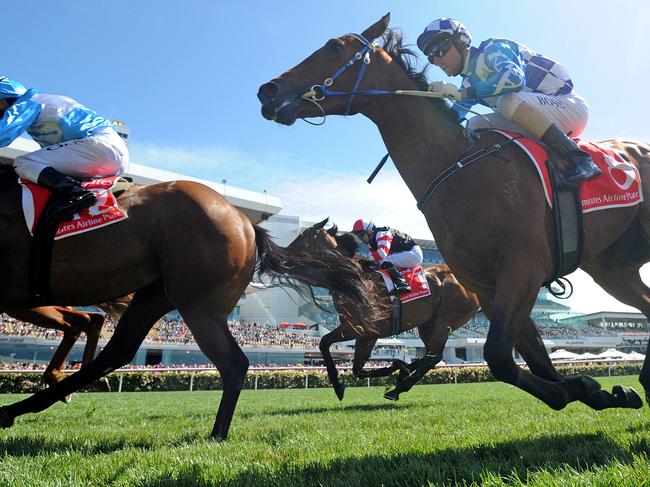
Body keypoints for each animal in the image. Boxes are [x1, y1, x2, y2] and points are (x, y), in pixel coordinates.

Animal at [0, 170, 372, 440]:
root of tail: (247, 223)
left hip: (196, 307)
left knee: (232, 364)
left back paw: (217, 434)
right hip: (159, 295)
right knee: (116, 348)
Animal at [286, 219, 478, 402]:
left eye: (302, 236)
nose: (284, 254)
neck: (352, 280)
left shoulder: (360, 329)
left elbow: (324, 343)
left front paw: (339, 386)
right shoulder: (364, 332)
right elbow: (357, 369)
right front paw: (398, 366)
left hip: (443, 323)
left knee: (432, 358)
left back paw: (397, 389)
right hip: (428, 325)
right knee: (433, 357)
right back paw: (403, 375)